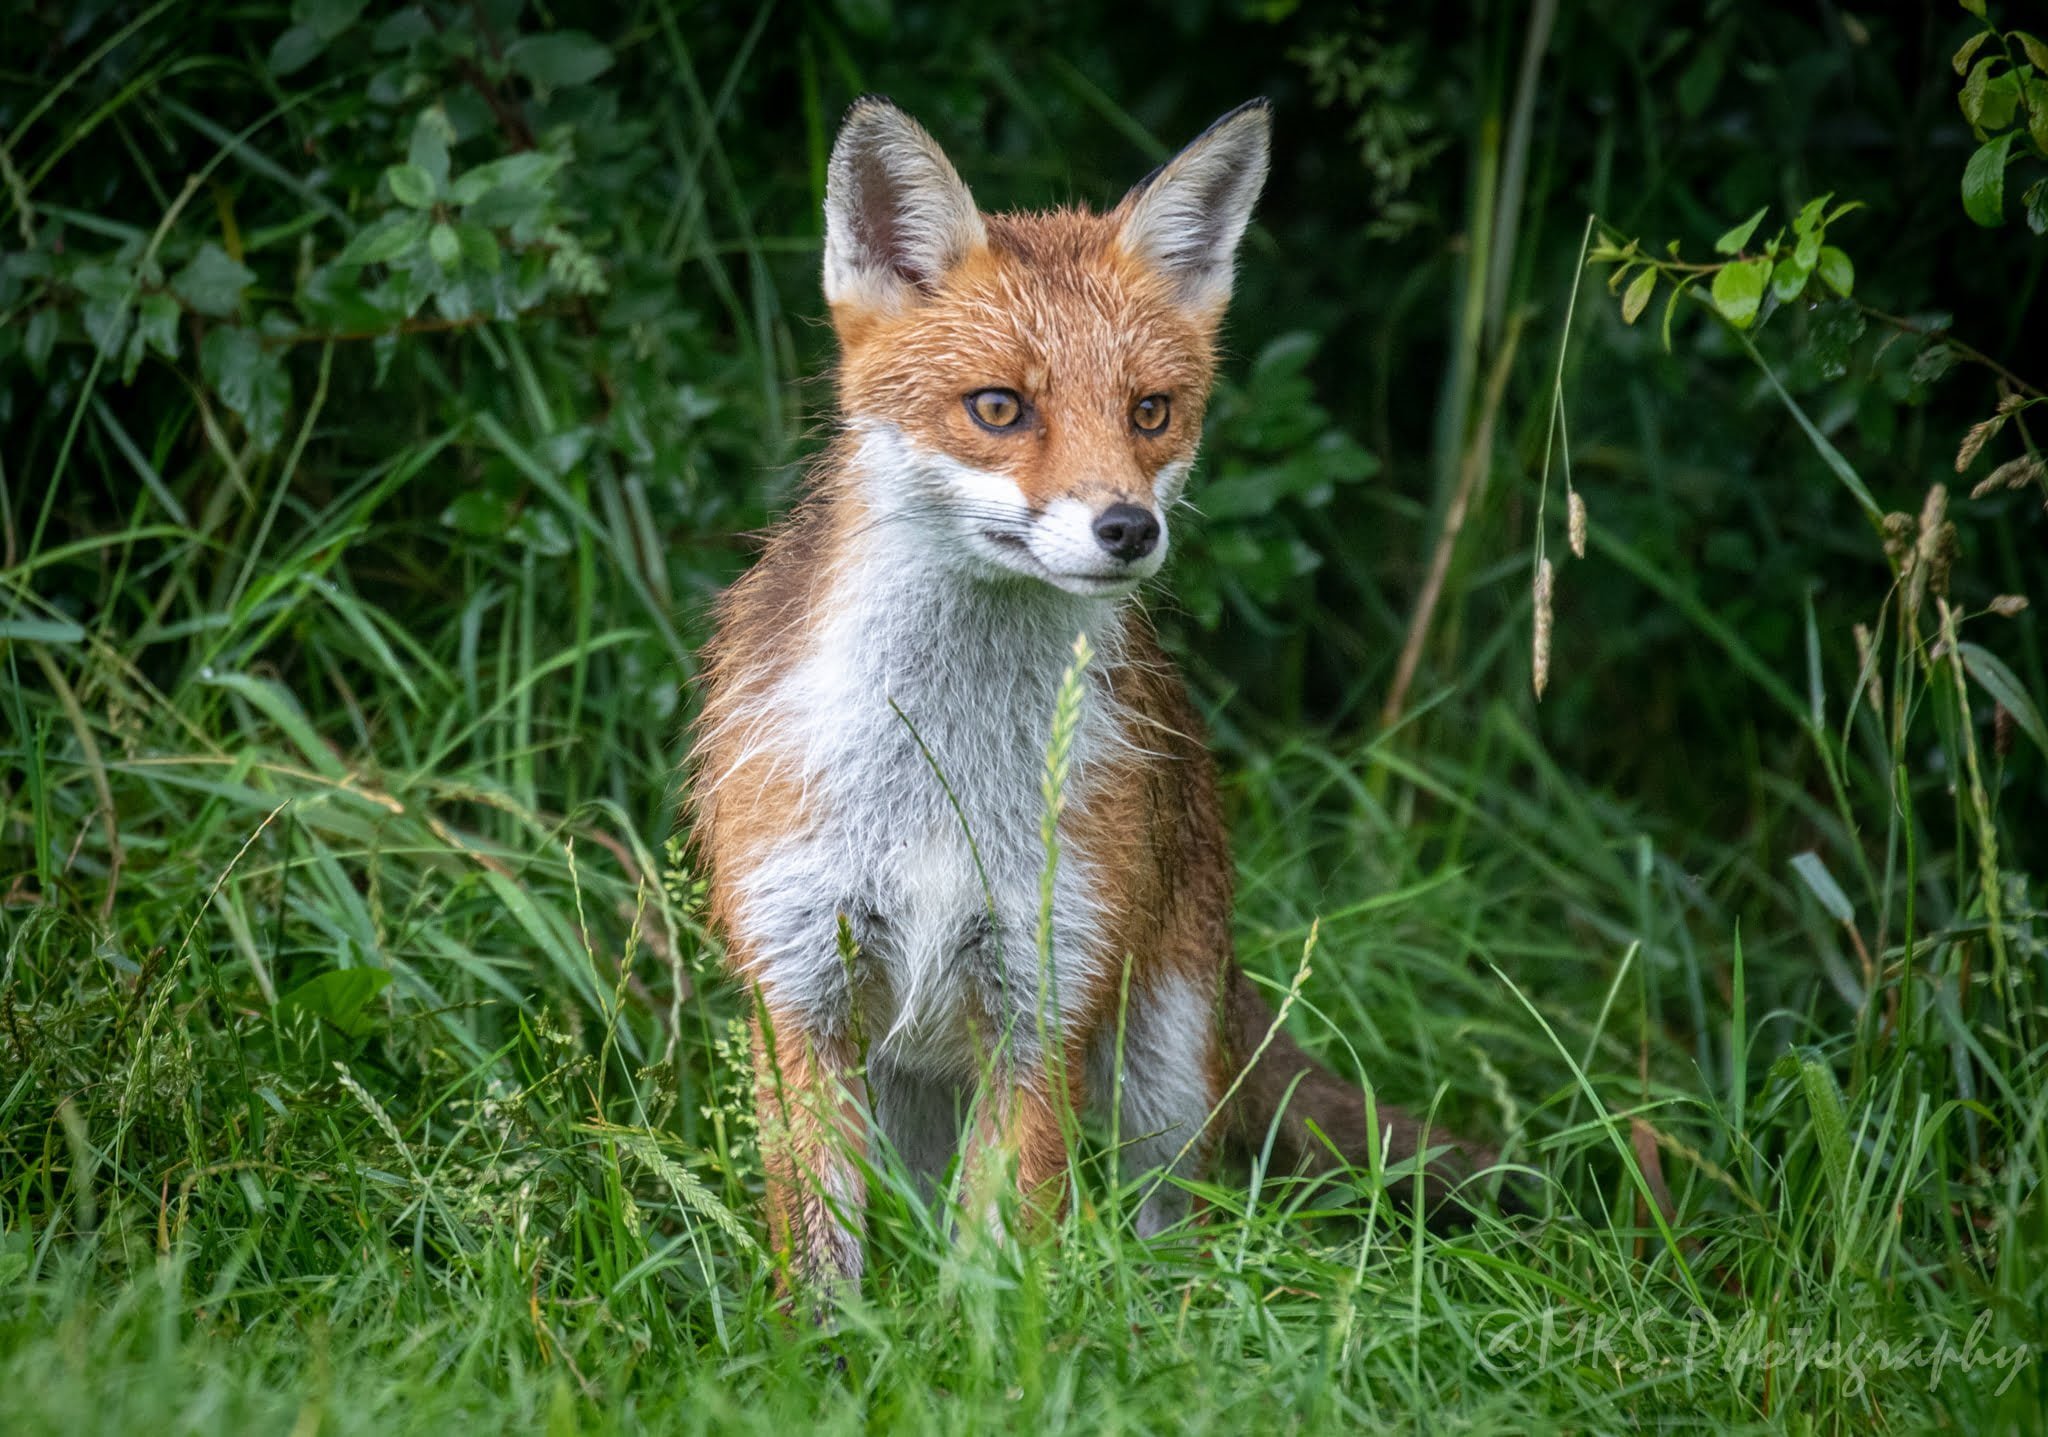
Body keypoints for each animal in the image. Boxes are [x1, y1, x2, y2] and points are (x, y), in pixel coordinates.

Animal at [690, 96, 1499, 1290]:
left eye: (1149, 412)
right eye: (997, 408)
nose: (1127, 527)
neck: (943, 764)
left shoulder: (1044, 1001)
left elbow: (992, 1274)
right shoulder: (798, 992)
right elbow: (825, 1270)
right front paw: (827, 1342)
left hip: (1161, 1079)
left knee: (1173, 1233)